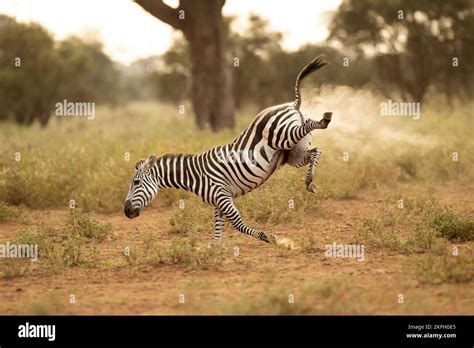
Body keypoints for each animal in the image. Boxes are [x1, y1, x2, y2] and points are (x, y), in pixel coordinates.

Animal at [126, 55, 334, 245]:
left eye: (136, 182)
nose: (126, 211)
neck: (193, 175)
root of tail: (291, 104)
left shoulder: (222, 195)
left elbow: (237, 224)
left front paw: (270, 238)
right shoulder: (219, 201)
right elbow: (218, 230)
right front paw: (214, 251)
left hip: (283, 136)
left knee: (310, 127)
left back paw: (325, 119)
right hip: (294, 153)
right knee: (315, 150)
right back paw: (310, 182)